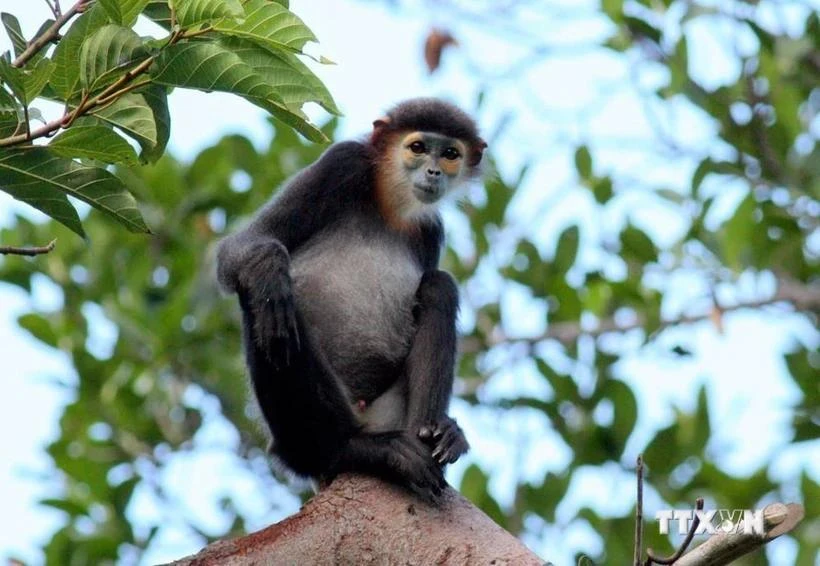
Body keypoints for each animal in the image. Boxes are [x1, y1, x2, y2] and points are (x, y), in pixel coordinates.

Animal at [218, 100, 486, 504]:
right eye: (418, 148)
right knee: (268, 307)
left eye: (451, 154)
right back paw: (355, 450)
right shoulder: (341, 163)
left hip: (389, 412)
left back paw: (432, 440)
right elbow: (239, 249)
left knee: (439, 286)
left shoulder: (430, 228)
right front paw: (269, 270)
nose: (434, 171)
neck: (390, 204)